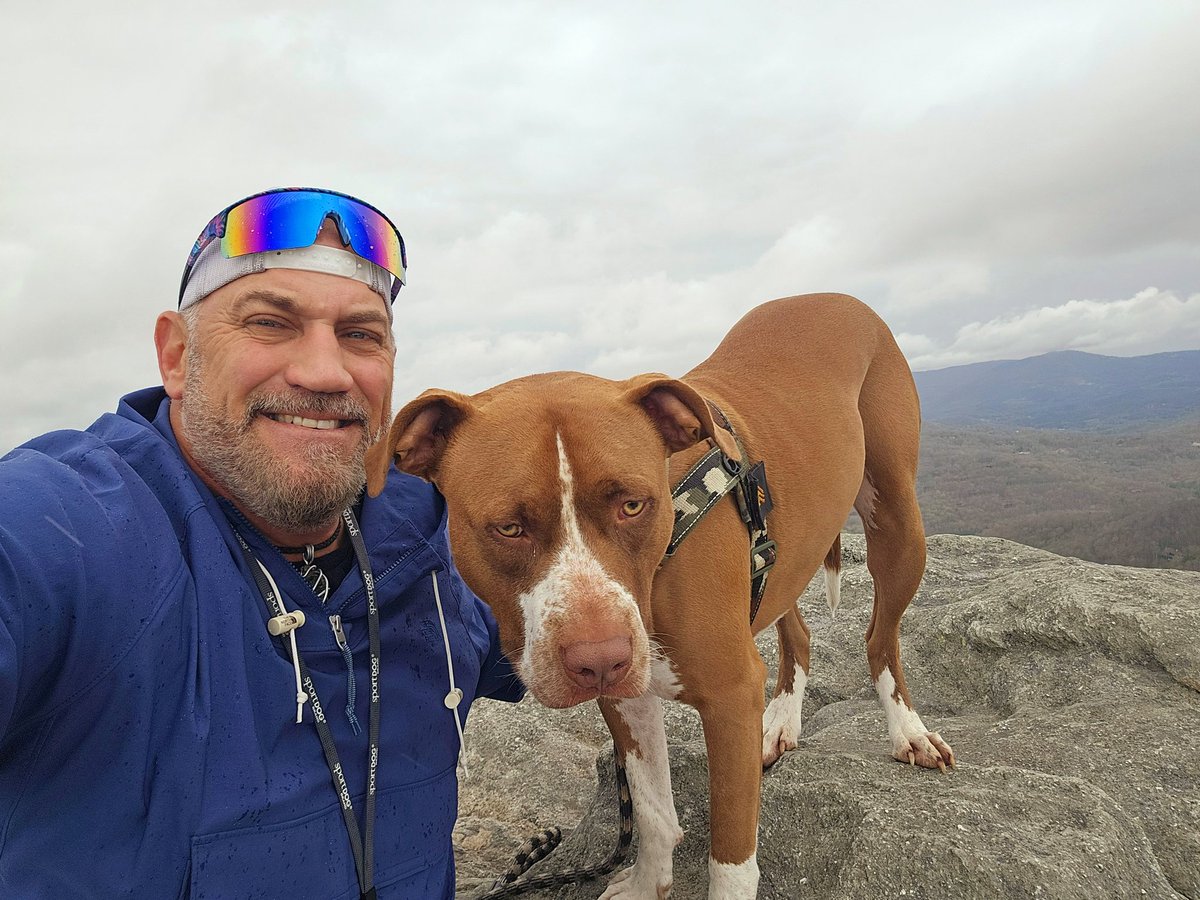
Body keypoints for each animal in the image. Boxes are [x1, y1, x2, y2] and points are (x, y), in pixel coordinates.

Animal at [369, 296, 950, 900]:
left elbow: (731, 860)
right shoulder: (626, 698)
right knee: (798, 627)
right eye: (508, 527)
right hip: (789, 546)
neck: (663, 550)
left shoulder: (731, 696)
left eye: (632, 505)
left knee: (880, 635)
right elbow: (650, 811)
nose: (600, 659)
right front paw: (649, 881)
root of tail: (836, 298)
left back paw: (908, 730)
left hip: (898, 523)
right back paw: (783, 720)